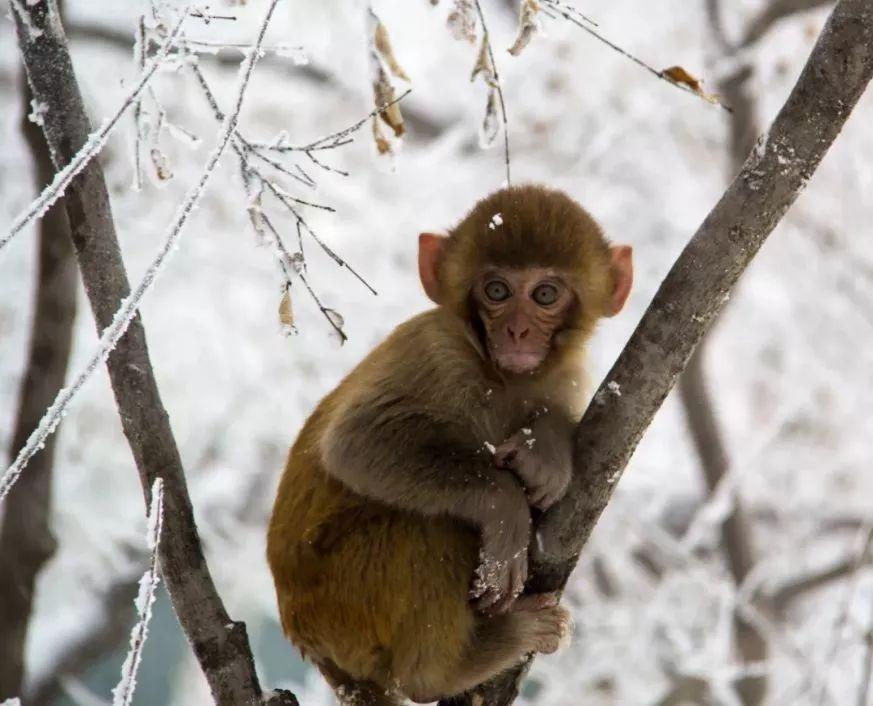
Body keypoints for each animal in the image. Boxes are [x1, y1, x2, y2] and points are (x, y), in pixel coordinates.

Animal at [262, 184, 632, 700]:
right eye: (496, 291)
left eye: (545, 294)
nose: (517, 330)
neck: (502, 377)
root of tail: (305, 638)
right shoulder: (435, 349)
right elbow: (354, 443)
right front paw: (505, 508)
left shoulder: (570, 378)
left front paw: (546, 450)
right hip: (344, 600)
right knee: (425, 524)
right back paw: (448, 669)